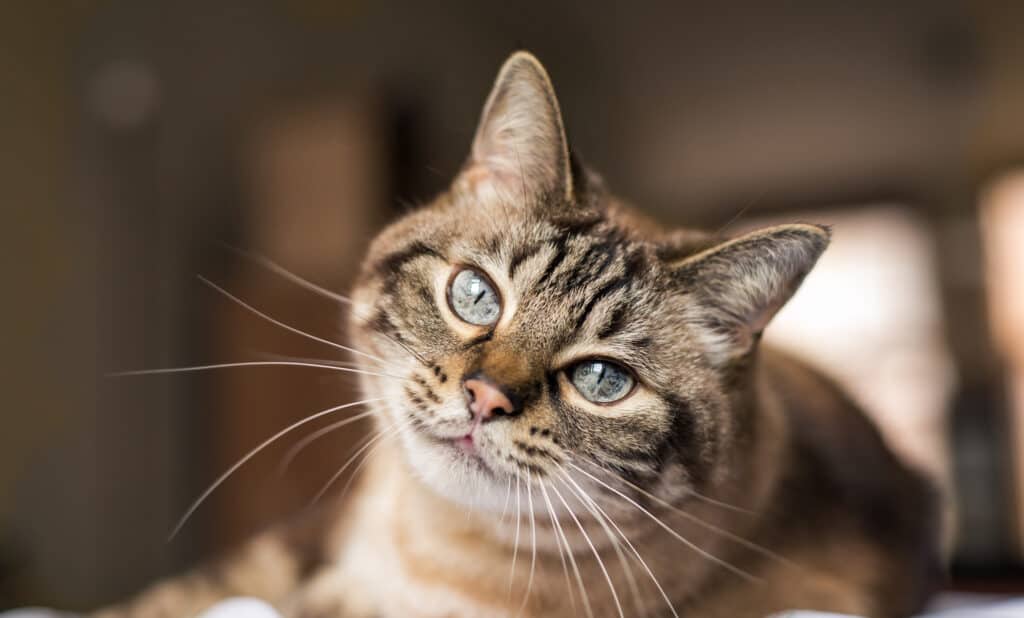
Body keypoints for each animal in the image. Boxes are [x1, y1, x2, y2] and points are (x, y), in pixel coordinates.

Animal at [97, 50, 942, 613]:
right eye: (476, 296)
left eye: (602, 380)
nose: (484, 397)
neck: (428, 553)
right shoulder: (302, 546)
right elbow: (174, 597)